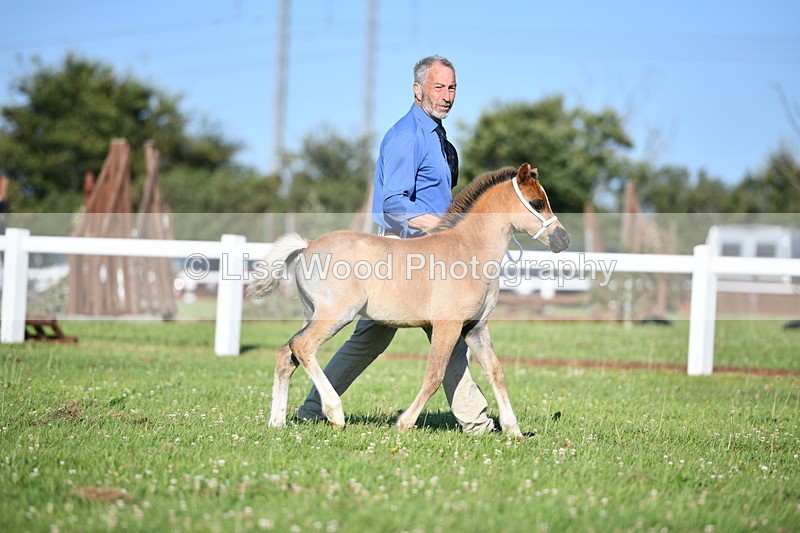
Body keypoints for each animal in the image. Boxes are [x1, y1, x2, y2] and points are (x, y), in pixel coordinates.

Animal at [248, 163, 570, 436]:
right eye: (537, 203)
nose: (563, 239)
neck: (469, 250)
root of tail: (308, 245)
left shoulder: (475, 328)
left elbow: (496, 372)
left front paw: (513, 430)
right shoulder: (447, 326)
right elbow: (435, 375)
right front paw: (404, 423)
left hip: (312, 314)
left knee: (286, 353)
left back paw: (277, 421)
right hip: (335, 315)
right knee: (303, 346)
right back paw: (335, 413)